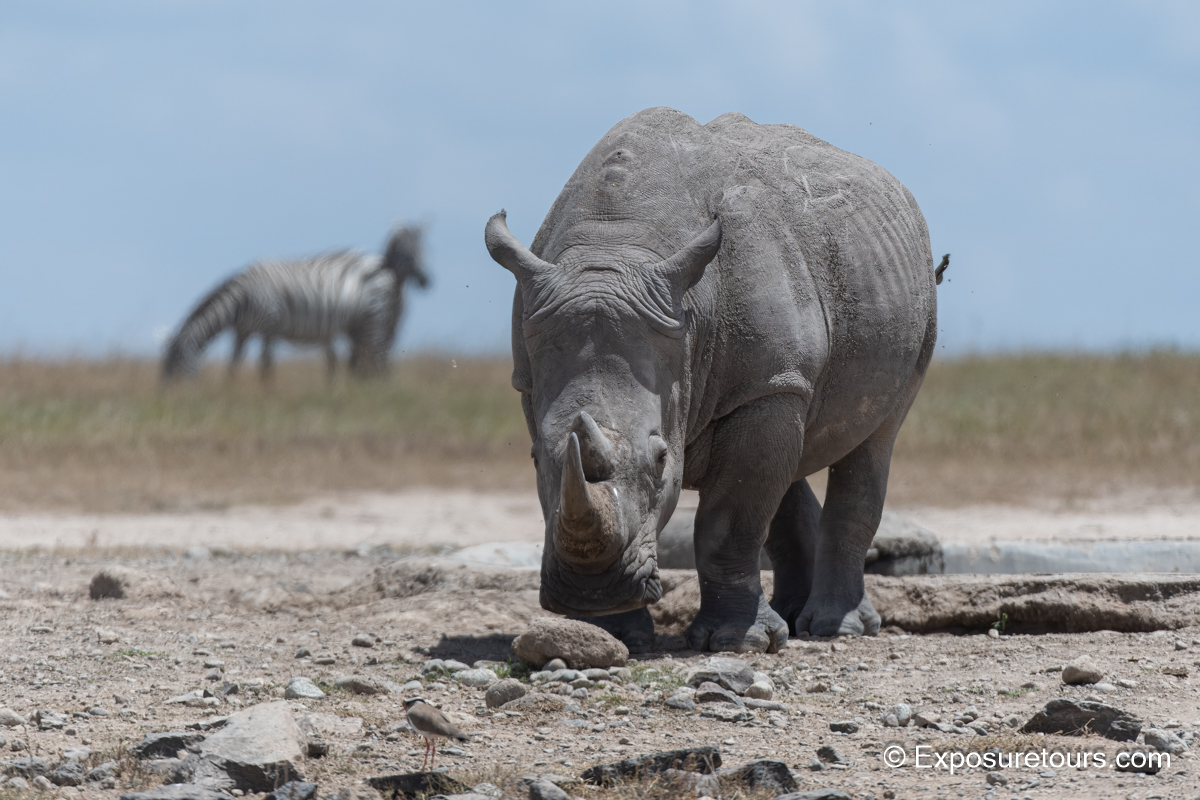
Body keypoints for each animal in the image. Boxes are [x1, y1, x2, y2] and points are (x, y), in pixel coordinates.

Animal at [162, 225, 429, 381]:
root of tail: (383, 264)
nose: (166, 402)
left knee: (379, 354)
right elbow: (233, 363)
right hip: (360, 324)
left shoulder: (269, 326)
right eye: (163, 368)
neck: (241, 299)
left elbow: (266, 364)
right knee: (366, 356)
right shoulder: (242, 331)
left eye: (176, 369)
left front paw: (265, 393)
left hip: (374, 317)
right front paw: (230, 388)